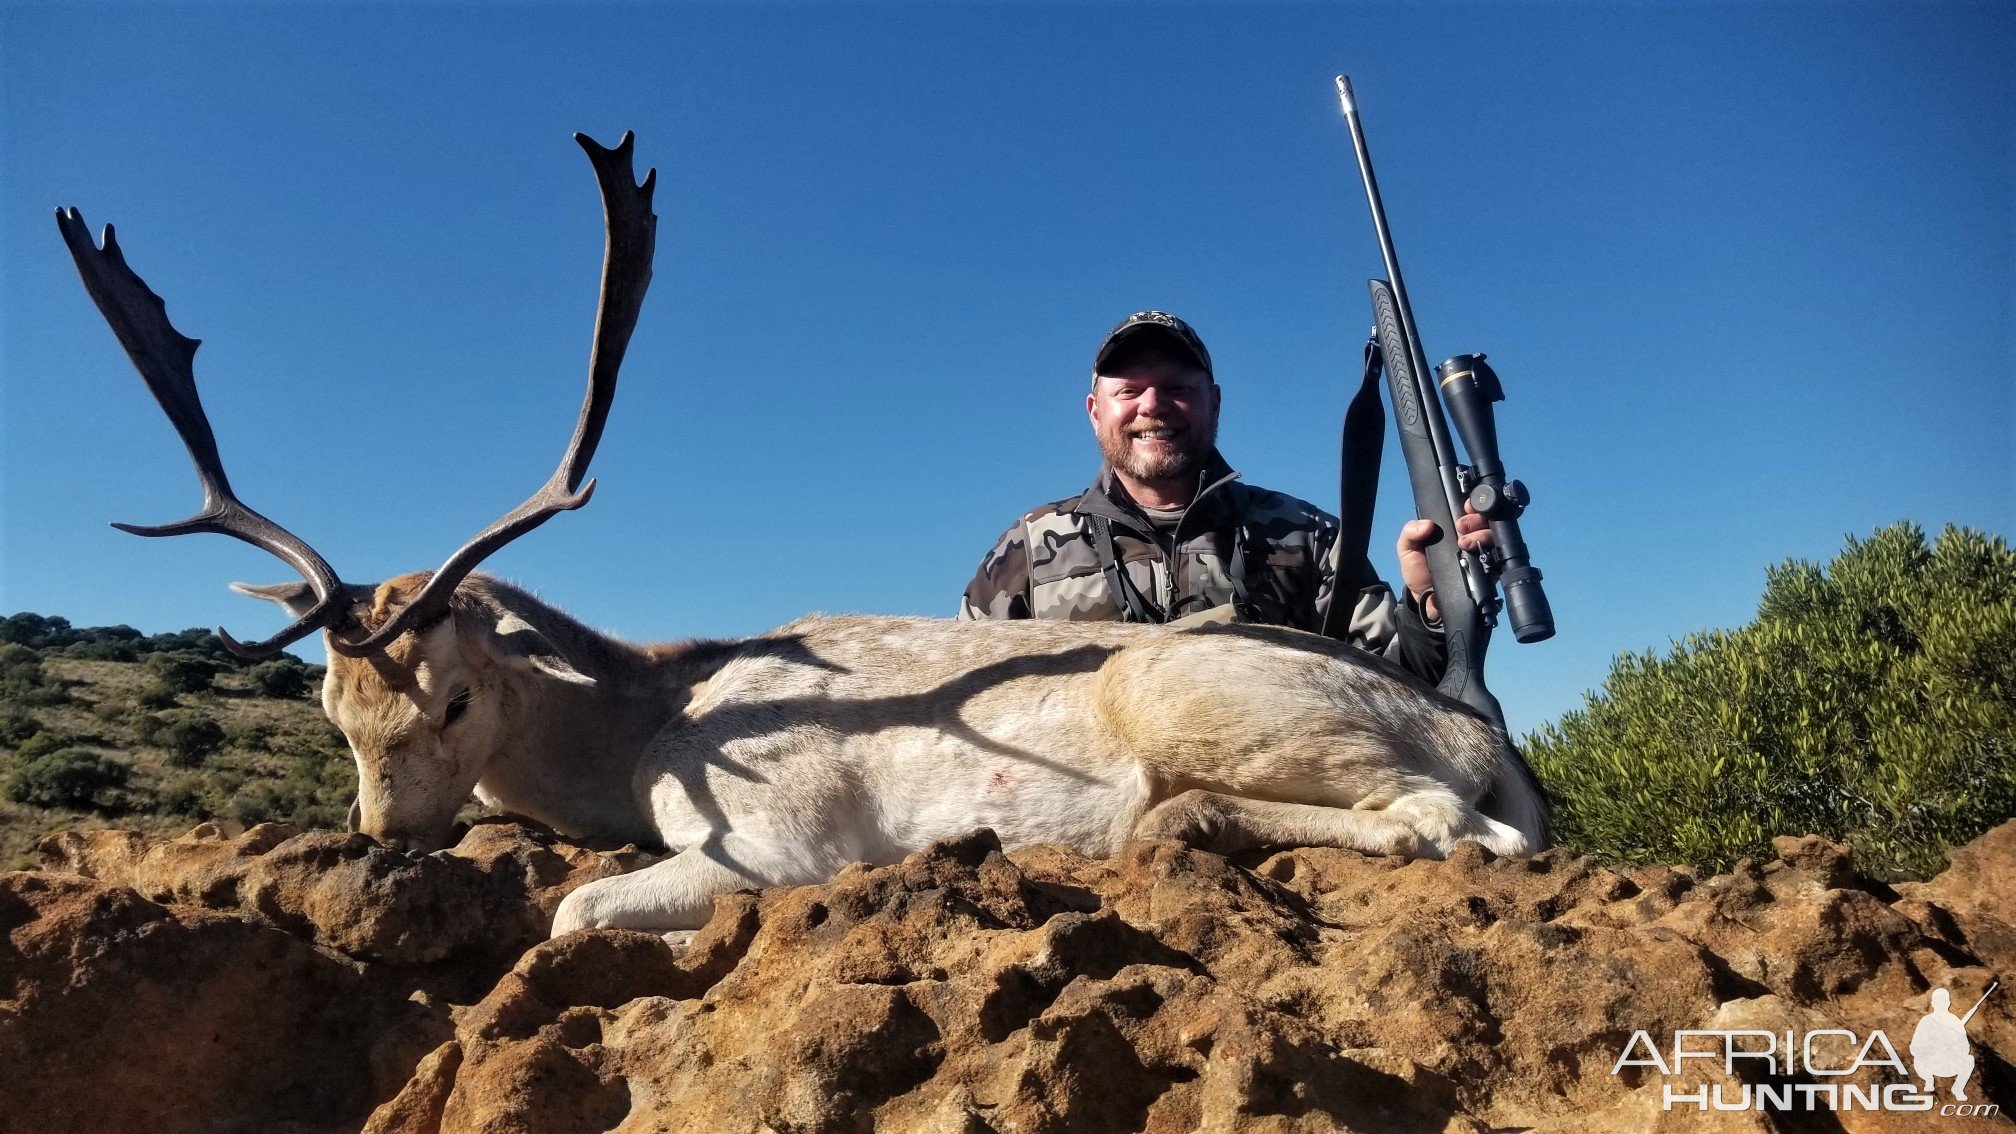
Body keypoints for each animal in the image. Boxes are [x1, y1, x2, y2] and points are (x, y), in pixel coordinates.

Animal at [58, 132, 1540, 932]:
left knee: (1455, 825)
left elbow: (577, 902)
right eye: (332, 705)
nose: (380, 836)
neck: (646, 719)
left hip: (1193, 693)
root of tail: (1490, 737)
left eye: (459, 693)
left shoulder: (769, 840)